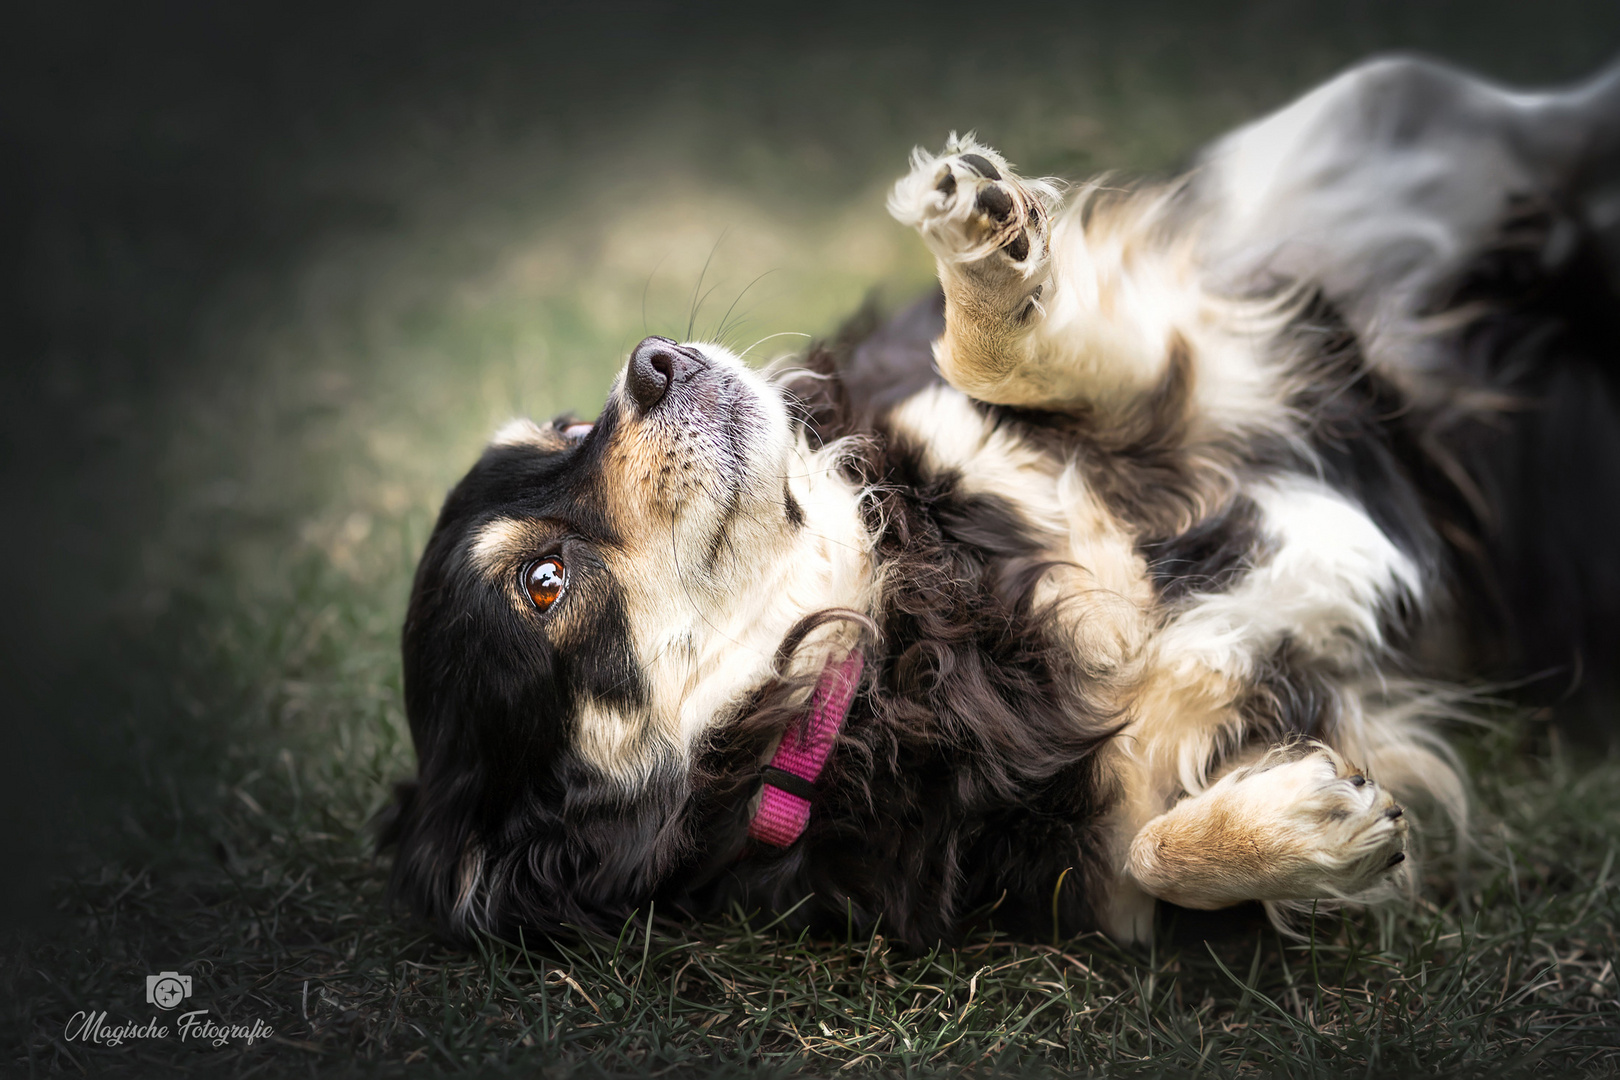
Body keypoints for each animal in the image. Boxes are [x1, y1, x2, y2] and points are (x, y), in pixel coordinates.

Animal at [382, 57, 1620, 945]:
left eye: (560, 428)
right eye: (544, 583)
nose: (649, 364)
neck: (902, 615)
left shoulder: (1211, 354)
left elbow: (995, 361)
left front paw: (985, 261)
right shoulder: (1107, 827)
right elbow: (1150, 859)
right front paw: (1303, 828)